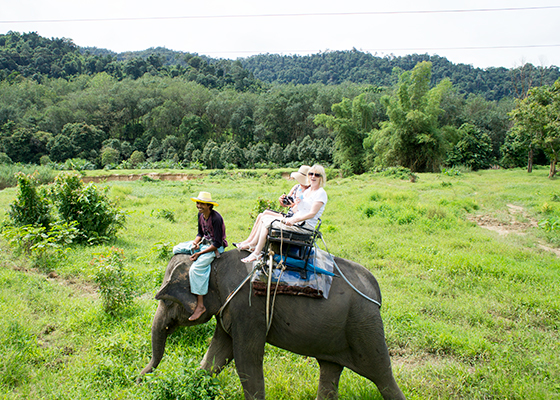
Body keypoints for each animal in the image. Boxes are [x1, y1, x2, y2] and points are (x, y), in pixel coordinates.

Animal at [138, 252, 404, 398]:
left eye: (166, 300)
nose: (138, 380)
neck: (215, 262)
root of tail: (376, 290)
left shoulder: (247, 310)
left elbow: (246, 360)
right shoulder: (228, 310)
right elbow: (217, 356)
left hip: (364, 325)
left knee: (382, 376)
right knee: (330, 370)